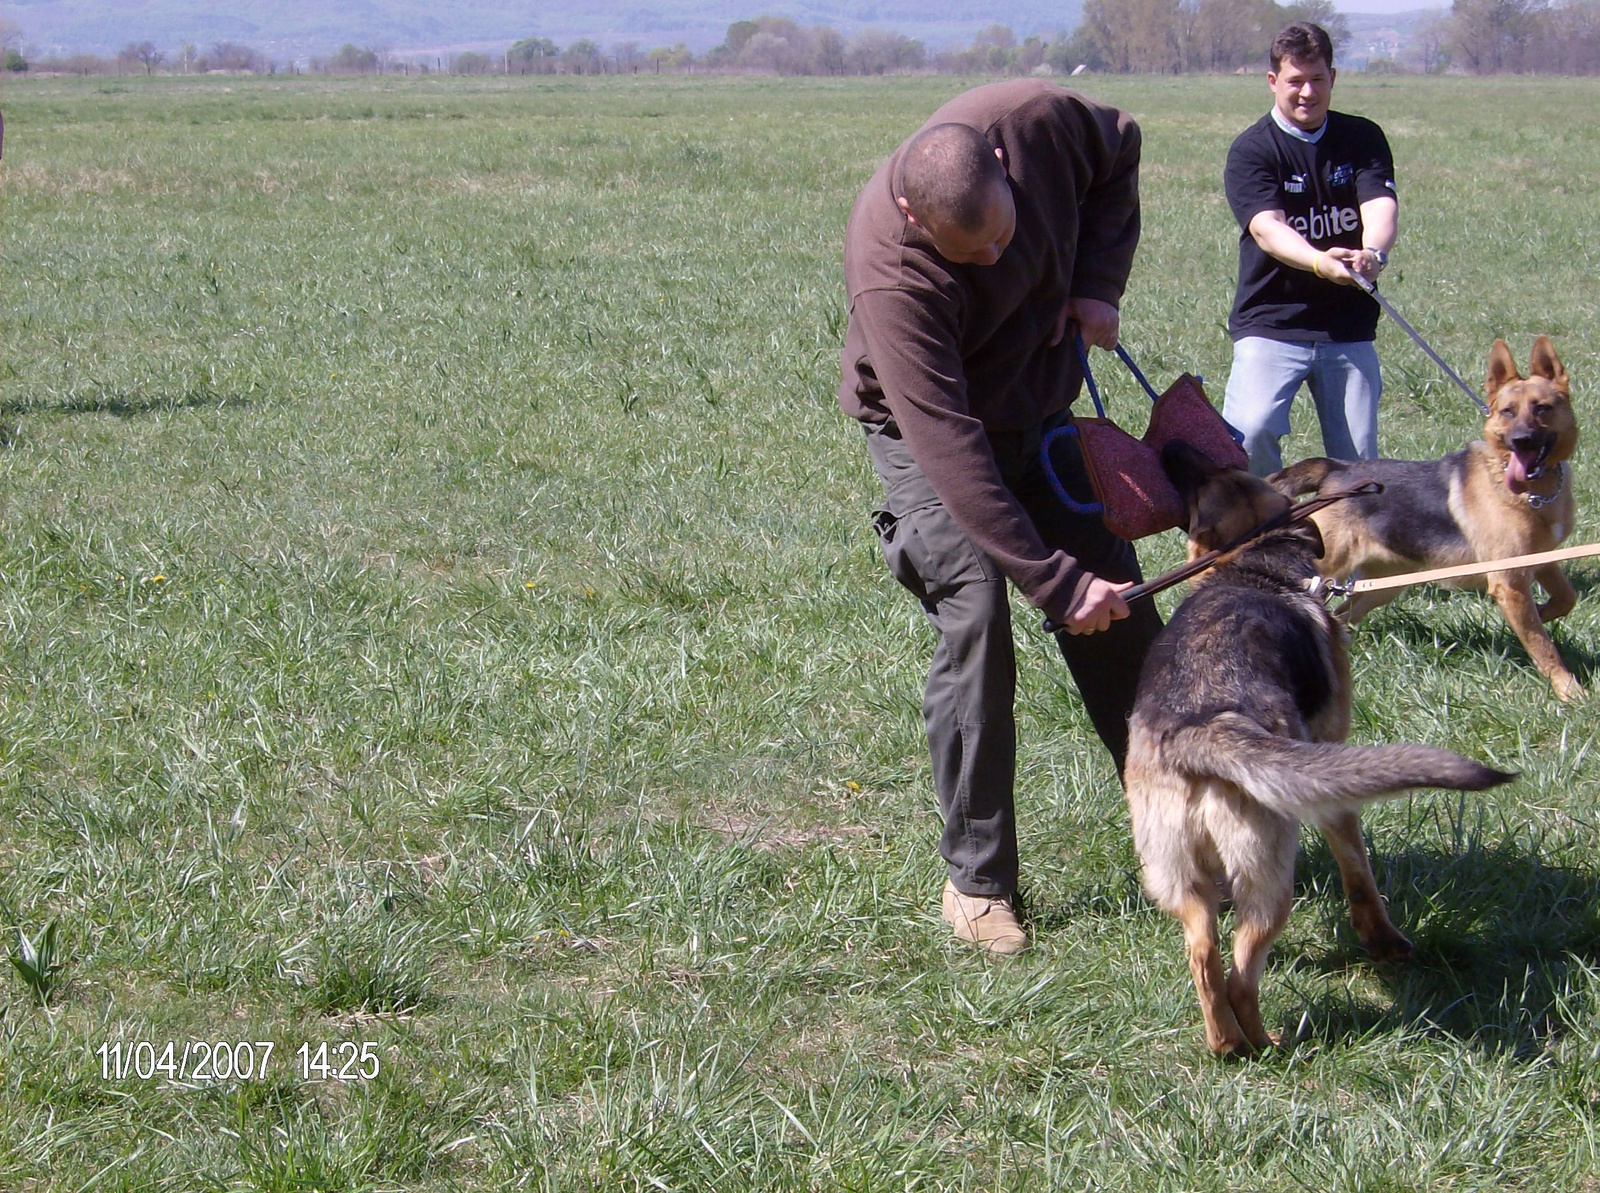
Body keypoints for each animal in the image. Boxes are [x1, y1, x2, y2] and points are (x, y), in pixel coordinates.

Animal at [1126, 441, 1510, 1055]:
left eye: (1216, 474)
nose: (1169, 446)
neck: (1256, 563)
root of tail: (1199, 730)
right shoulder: (1332, 782)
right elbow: (1360, 873)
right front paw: (1384, 943)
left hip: (1179, 877)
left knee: (1205, 955)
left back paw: (1226, 1044)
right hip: (1268, 878)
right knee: (1241, 972)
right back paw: (1266, 1044)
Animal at [1267, 334, 1580, 700]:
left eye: (1542, 408)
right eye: (1507, 412)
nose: (1521, 441)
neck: (1532, 492)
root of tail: (1338, 469)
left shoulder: (1541, 560)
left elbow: (1566, 598)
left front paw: (1541, 614)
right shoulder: (1510, 580)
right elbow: (1544, 648)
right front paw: (1570, 691)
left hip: (1383, 585)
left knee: (1342, 616)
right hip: (1329, 566)